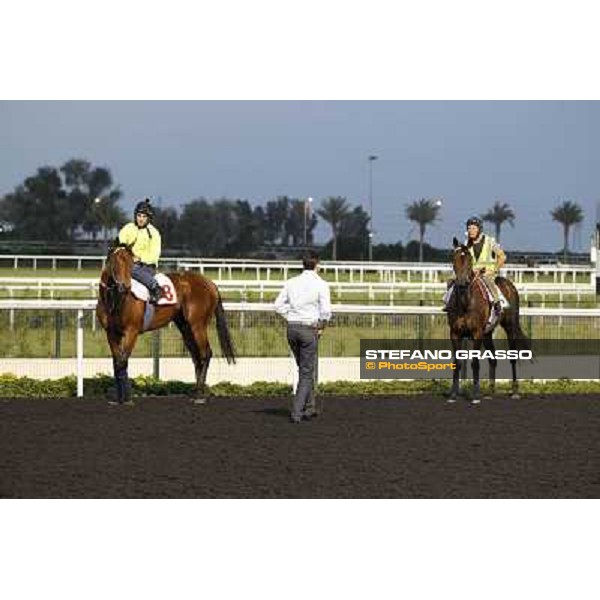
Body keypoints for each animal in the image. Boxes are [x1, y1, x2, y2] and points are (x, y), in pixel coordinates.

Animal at [96, 243, 234, 404]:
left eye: (130, 264)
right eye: (116, 263)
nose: (125, 287)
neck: (115, 299)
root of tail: (211, 283)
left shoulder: (132, 331)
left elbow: (123, 361)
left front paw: (128, 398)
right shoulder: (111, 333)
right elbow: (117, 362)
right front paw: (119, 398)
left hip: (198, 325)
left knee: (206, 353)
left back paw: (199, 395)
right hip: (185, 327)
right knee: (196, 356)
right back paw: (195, 391)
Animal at [446, 238, 528, 404]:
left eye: (469, 259)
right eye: (454, 258)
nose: (462, 283)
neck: (465, 303)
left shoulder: (476, 333)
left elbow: (475, 363)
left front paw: (475, 395)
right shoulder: (455, 333)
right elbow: (457, 363)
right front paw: (453, 394)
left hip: (510, 327)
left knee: (512, 357)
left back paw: (515, 390)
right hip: (488, 334)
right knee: (493, 359)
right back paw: (491, 391)